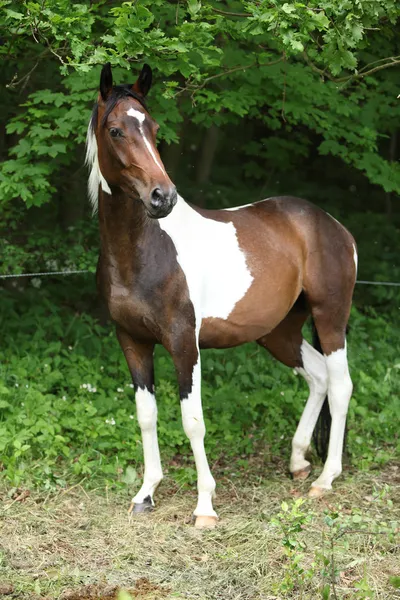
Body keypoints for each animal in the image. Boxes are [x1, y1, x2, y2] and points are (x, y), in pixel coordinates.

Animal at [86, 62, 356, 528]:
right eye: (116, 130)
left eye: (153, 128)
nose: (163, 196)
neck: (145, 251)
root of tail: (332, 225)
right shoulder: (132, 341)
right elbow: (146, 416)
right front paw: (146, 493)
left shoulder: (183, 343)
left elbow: (192, 421)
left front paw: (205, 507)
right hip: (278, 332)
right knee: (319, 376)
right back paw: (298, 461)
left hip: (330, 318)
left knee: (340, 385)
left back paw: (325, 479)